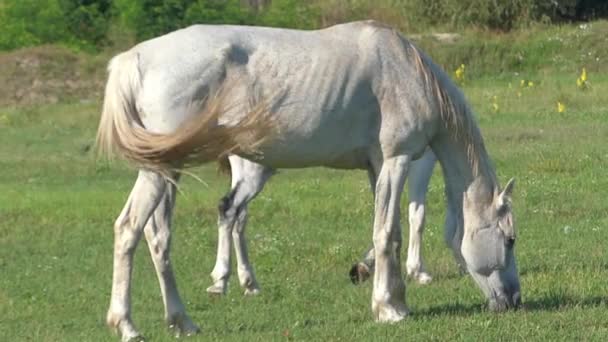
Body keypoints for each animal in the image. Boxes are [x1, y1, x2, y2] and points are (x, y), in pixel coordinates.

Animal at [96, 22, 524, 342]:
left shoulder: (378, 168)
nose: (515, 299)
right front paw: (388, 308)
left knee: (159, 237)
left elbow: (390, 232)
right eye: (509, 239)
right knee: (129, 229)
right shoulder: (398, 160)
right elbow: (388, 234)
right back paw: (127, 325)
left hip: (168, 171)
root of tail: (134, 59)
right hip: (163, 170)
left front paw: (395, 299)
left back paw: (182, 320)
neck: (407, 71)